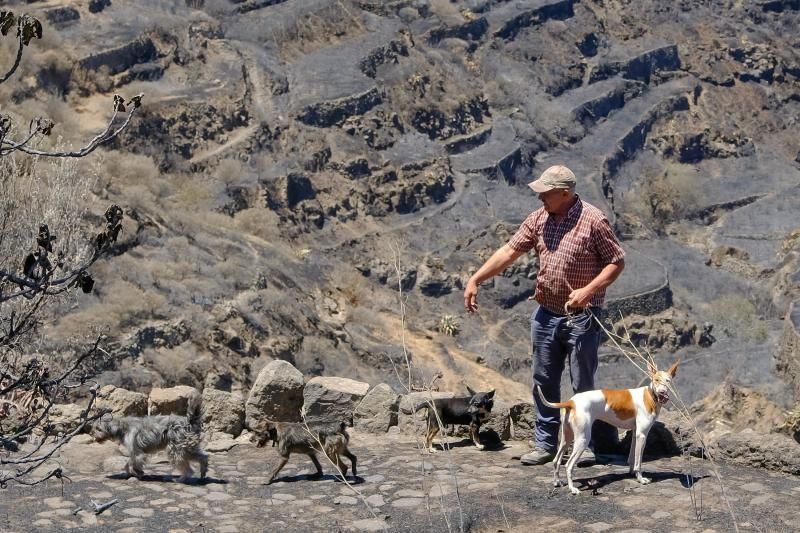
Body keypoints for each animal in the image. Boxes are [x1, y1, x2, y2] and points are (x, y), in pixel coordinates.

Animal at [540, 358, 680, 494]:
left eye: (668, 381)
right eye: (656, 380)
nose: (662, 392)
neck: (650, 395)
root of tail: (571, 401)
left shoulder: (636, 433)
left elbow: (631, 458)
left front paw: (632, 474)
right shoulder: (642, 435)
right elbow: (638, 462)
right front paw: (641, 479)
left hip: (566, 438)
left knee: (556, 460)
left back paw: (557, 482)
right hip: (583, 439)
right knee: (568, 465)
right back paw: (572, 489)